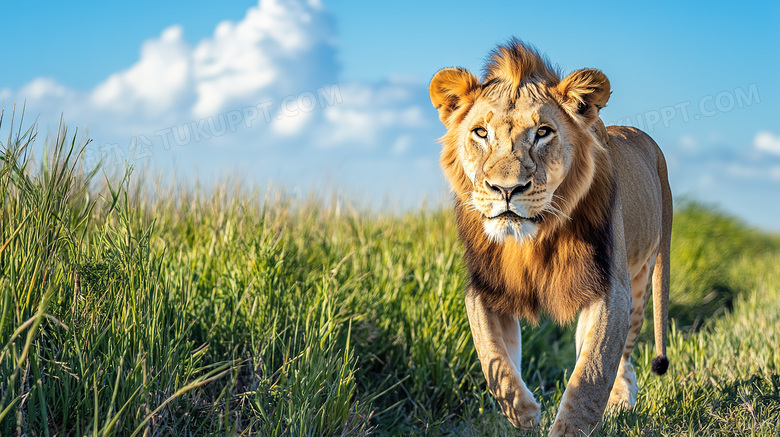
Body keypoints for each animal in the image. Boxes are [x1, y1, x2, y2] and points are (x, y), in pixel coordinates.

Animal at [426, 39, 672, 434]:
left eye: (543, 132)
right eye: (481, 132)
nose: (506, 189)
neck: (532, 240)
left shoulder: (609, 287)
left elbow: (592, 373)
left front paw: (568, 428)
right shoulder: (486, 286)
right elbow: (492, 357)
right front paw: (523, 412)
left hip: (642, 277)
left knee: (623, 355)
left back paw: (621, 401)